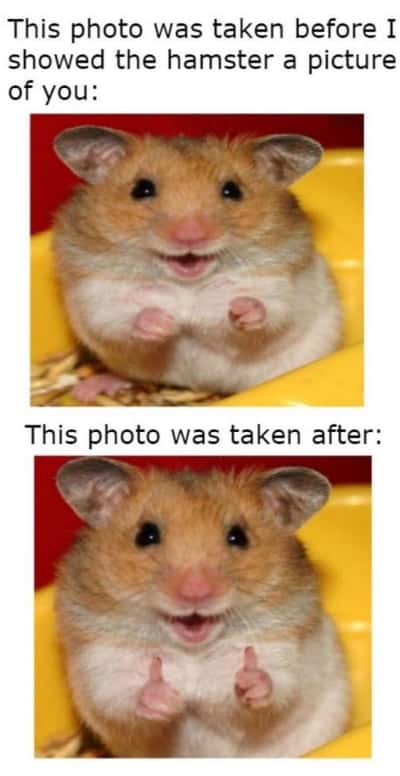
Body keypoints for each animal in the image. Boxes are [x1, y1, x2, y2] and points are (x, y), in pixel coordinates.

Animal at [53, 127, 342, 401]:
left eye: (232, 190)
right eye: (142, 189)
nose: (190, 236)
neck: (188, 284)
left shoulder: (281, 283)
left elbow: (272, 309)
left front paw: (240, 310)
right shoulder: (96, 292)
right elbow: (116, 317)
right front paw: (165, 324)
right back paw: (88, 390)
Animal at [55, 459, 350, 757]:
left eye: (238, 536)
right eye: (146, 535)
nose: (195, 592)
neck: (193, 651)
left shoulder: (285, 652)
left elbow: (278, 687)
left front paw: (249, 678)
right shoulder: (102, 664)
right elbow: (120, 697)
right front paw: (166, 698)